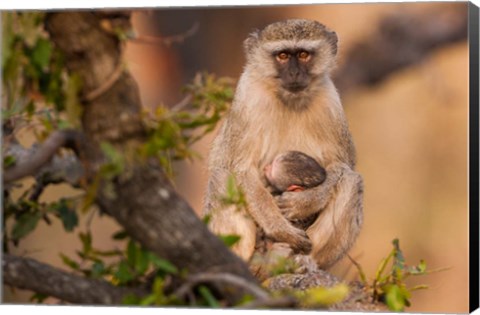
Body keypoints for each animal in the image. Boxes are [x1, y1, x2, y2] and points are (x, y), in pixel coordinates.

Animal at [202, 19, 364, 270]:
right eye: (283, 56)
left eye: (304, 54)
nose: (295, 73)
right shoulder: (248, 97)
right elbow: (240, 169)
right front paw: (280, 228)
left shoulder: (330, 102)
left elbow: (342, 166)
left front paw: (304, 202)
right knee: (221, 177)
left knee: (351, 181)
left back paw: (303, 260)